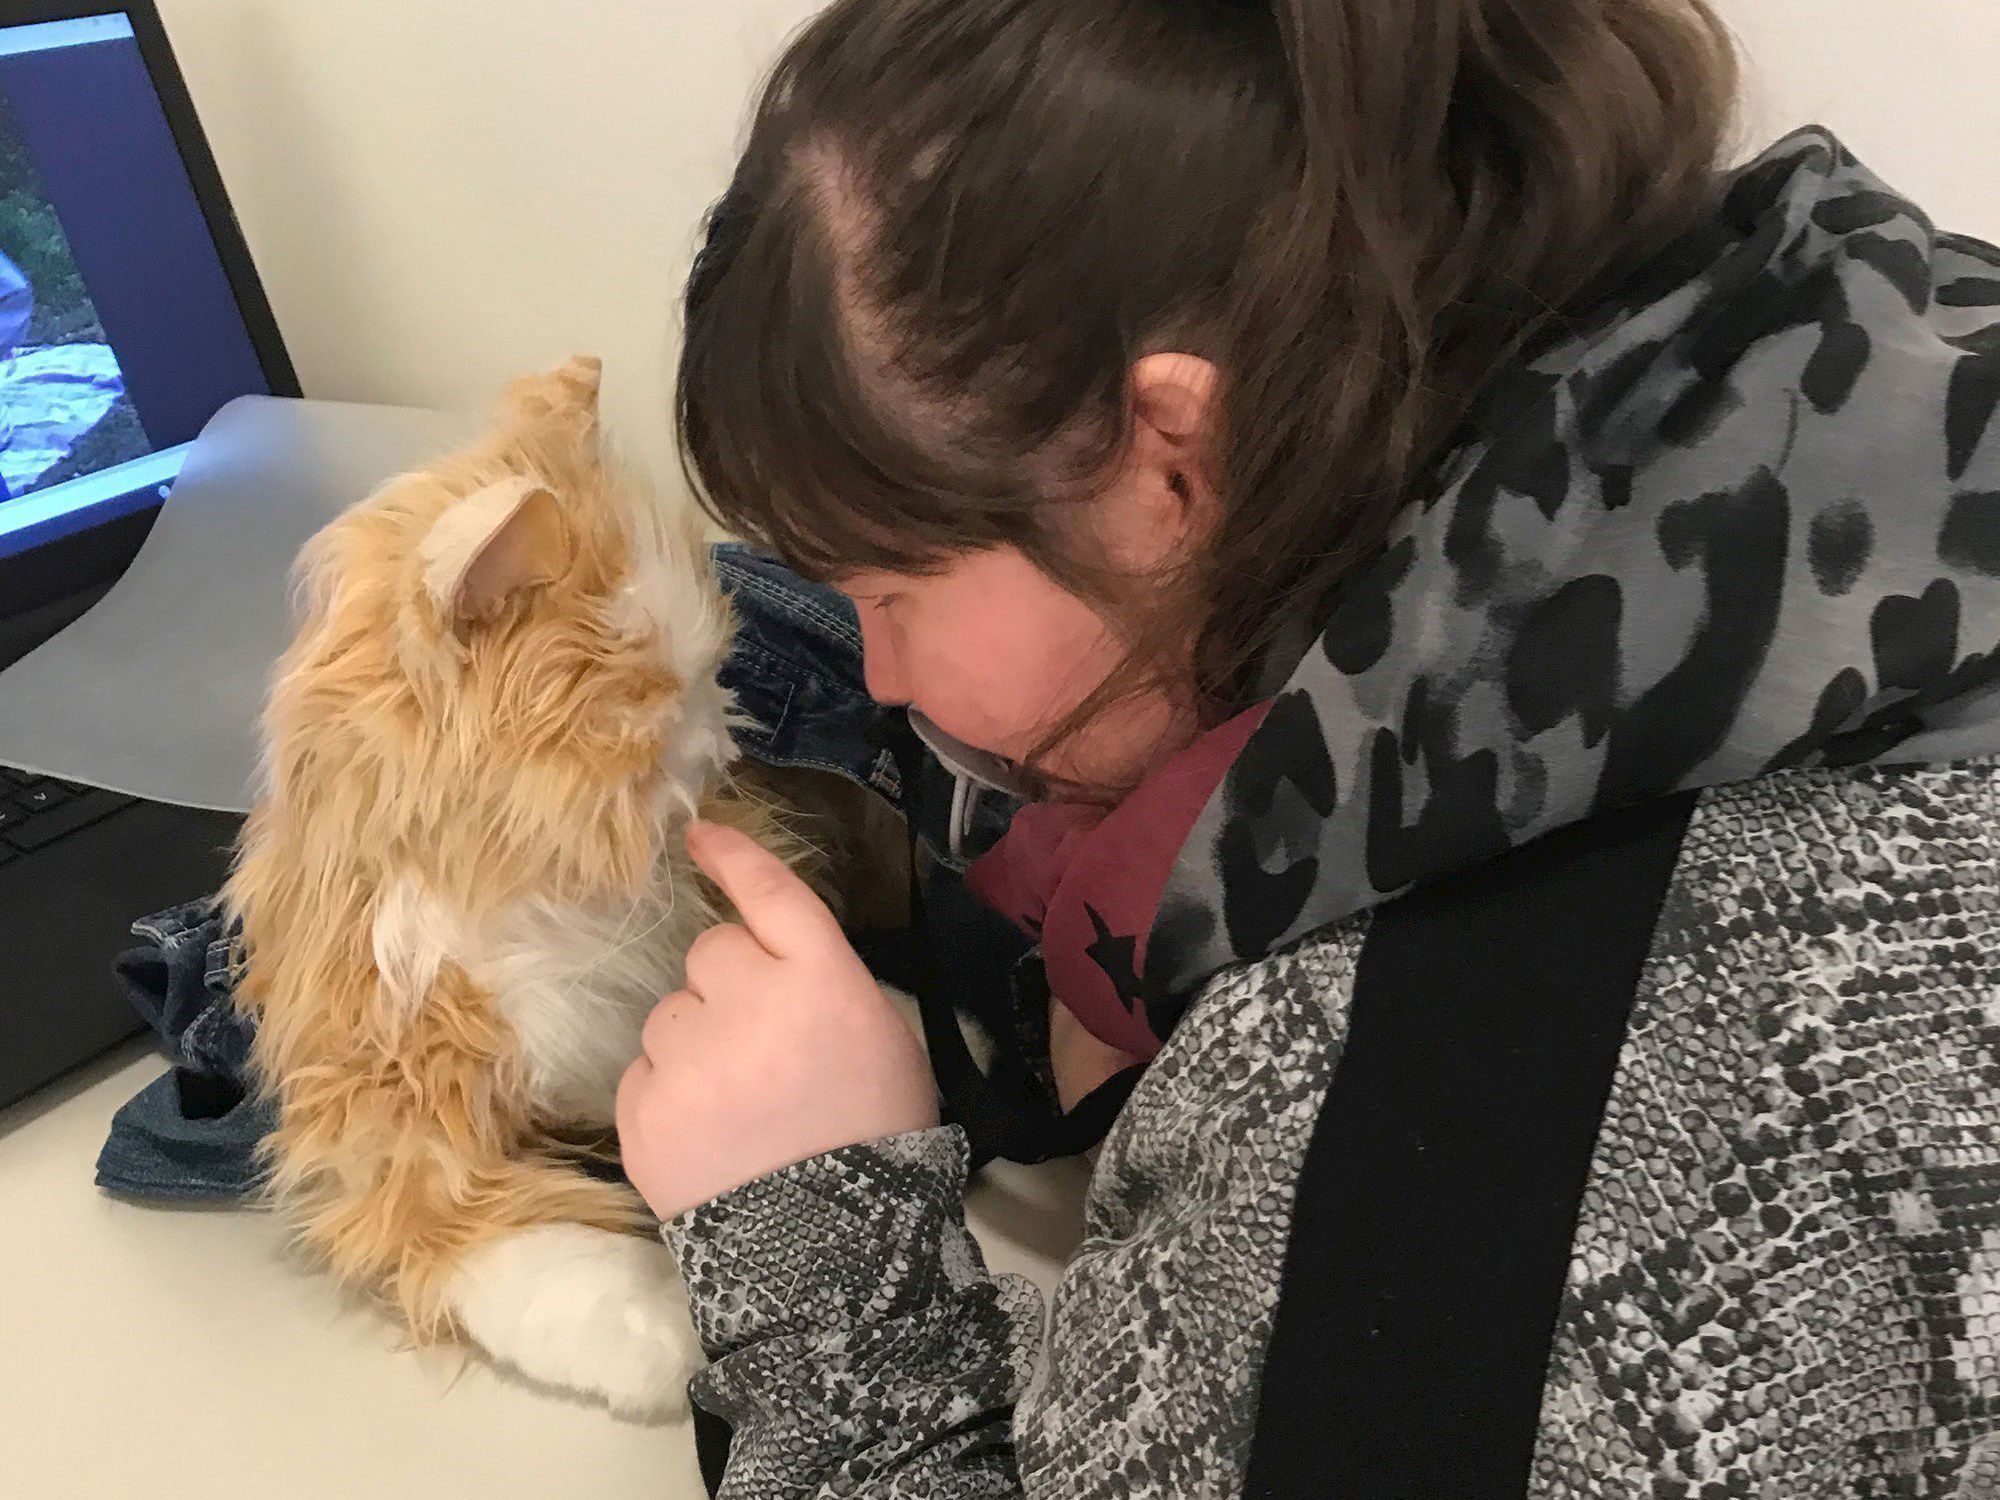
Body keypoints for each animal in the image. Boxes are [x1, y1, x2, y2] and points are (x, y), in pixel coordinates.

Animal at [224, 356, 814, 1420]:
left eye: (717, 669)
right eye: (652, 703)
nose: (723, 748)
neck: (537, 890)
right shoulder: (383, 1092)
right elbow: (517, 1248)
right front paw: (661, 1331)